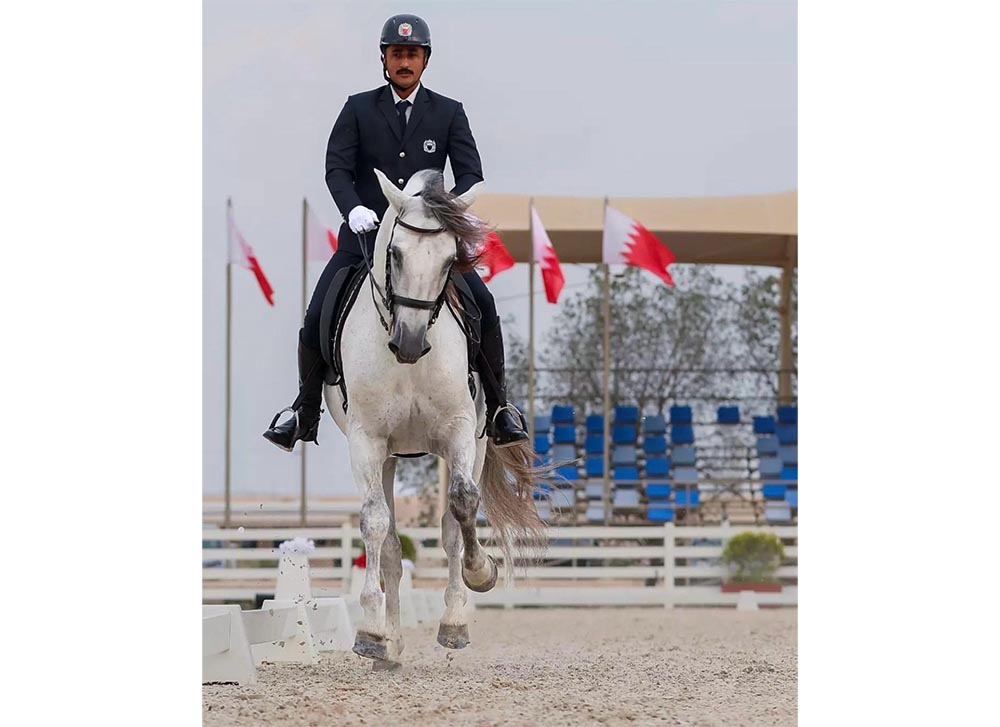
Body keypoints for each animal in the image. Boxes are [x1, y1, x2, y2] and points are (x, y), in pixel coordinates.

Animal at [325, 168, 548, 667]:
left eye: (450, 260)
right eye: (394, 253)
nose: (408, 344)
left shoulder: (460, 433)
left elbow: (462, 505)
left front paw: (478, 577)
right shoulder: (366, 441)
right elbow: (374, 523)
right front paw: (370, 632)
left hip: (479, 442)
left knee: (448, 528)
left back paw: (454, 615)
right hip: (388, 457)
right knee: (390, 546)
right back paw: (389, 644)